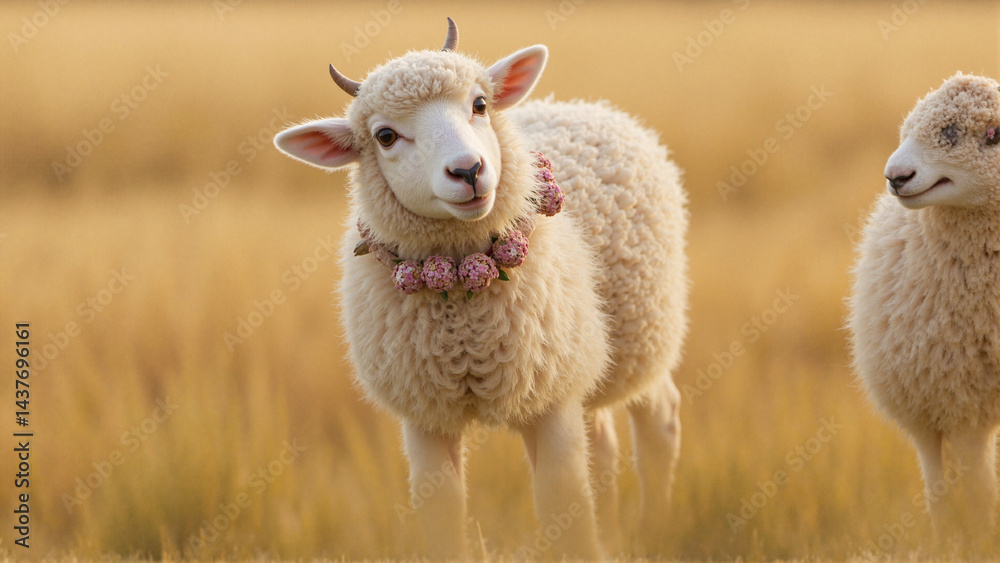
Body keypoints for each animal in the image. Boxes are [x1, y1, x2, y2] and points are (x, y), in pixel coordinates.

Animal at [274, 19, 688, 558]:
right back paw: (616, 533)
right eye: (385, 136)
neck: (463, 315)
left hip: (643, 330)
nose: (468, 171)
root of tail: (586, 105)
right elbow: (442, 513)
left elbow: (562, 501)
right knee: (603, 441)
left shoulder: (550, 399)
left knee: (660, 419)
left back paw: (654, 526)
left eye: (480, 104)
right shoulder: (426, 415)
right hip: (584, 353)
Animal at [848, 72, 1000, 552]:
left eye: (994, 134)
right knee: (939, 484)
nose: (896, 176)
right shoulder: (965, 404)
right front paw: (980, 543)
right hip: (925, 405)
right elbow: (979, 491)